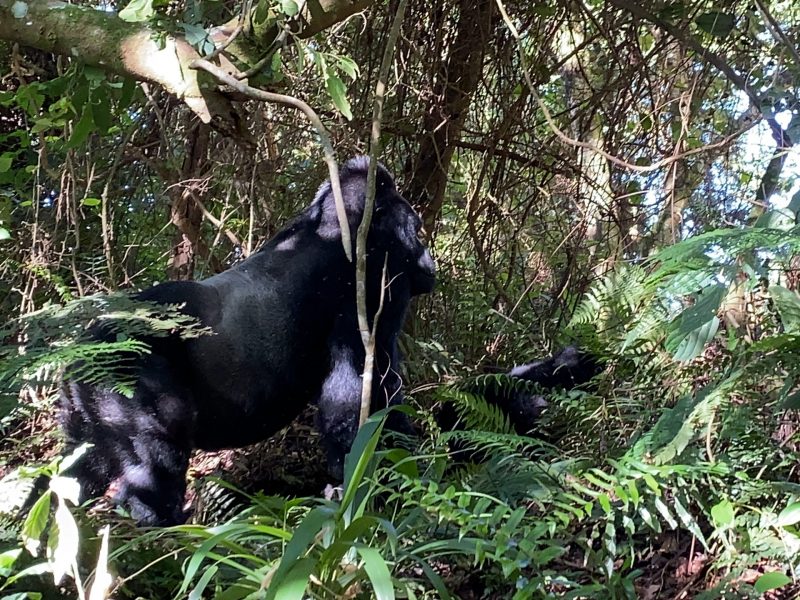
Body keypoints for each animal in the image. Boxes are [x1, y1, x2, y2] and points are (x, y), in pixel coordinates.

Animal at [61, 156, 438, 524]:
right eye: (417, 229)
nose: (429, 262)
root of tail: (83, 348)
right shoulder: (371, 281)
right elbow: (356, 392)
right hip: (128, 365)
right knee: (159, 446)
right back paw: (160, 521)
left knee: (82, 463)